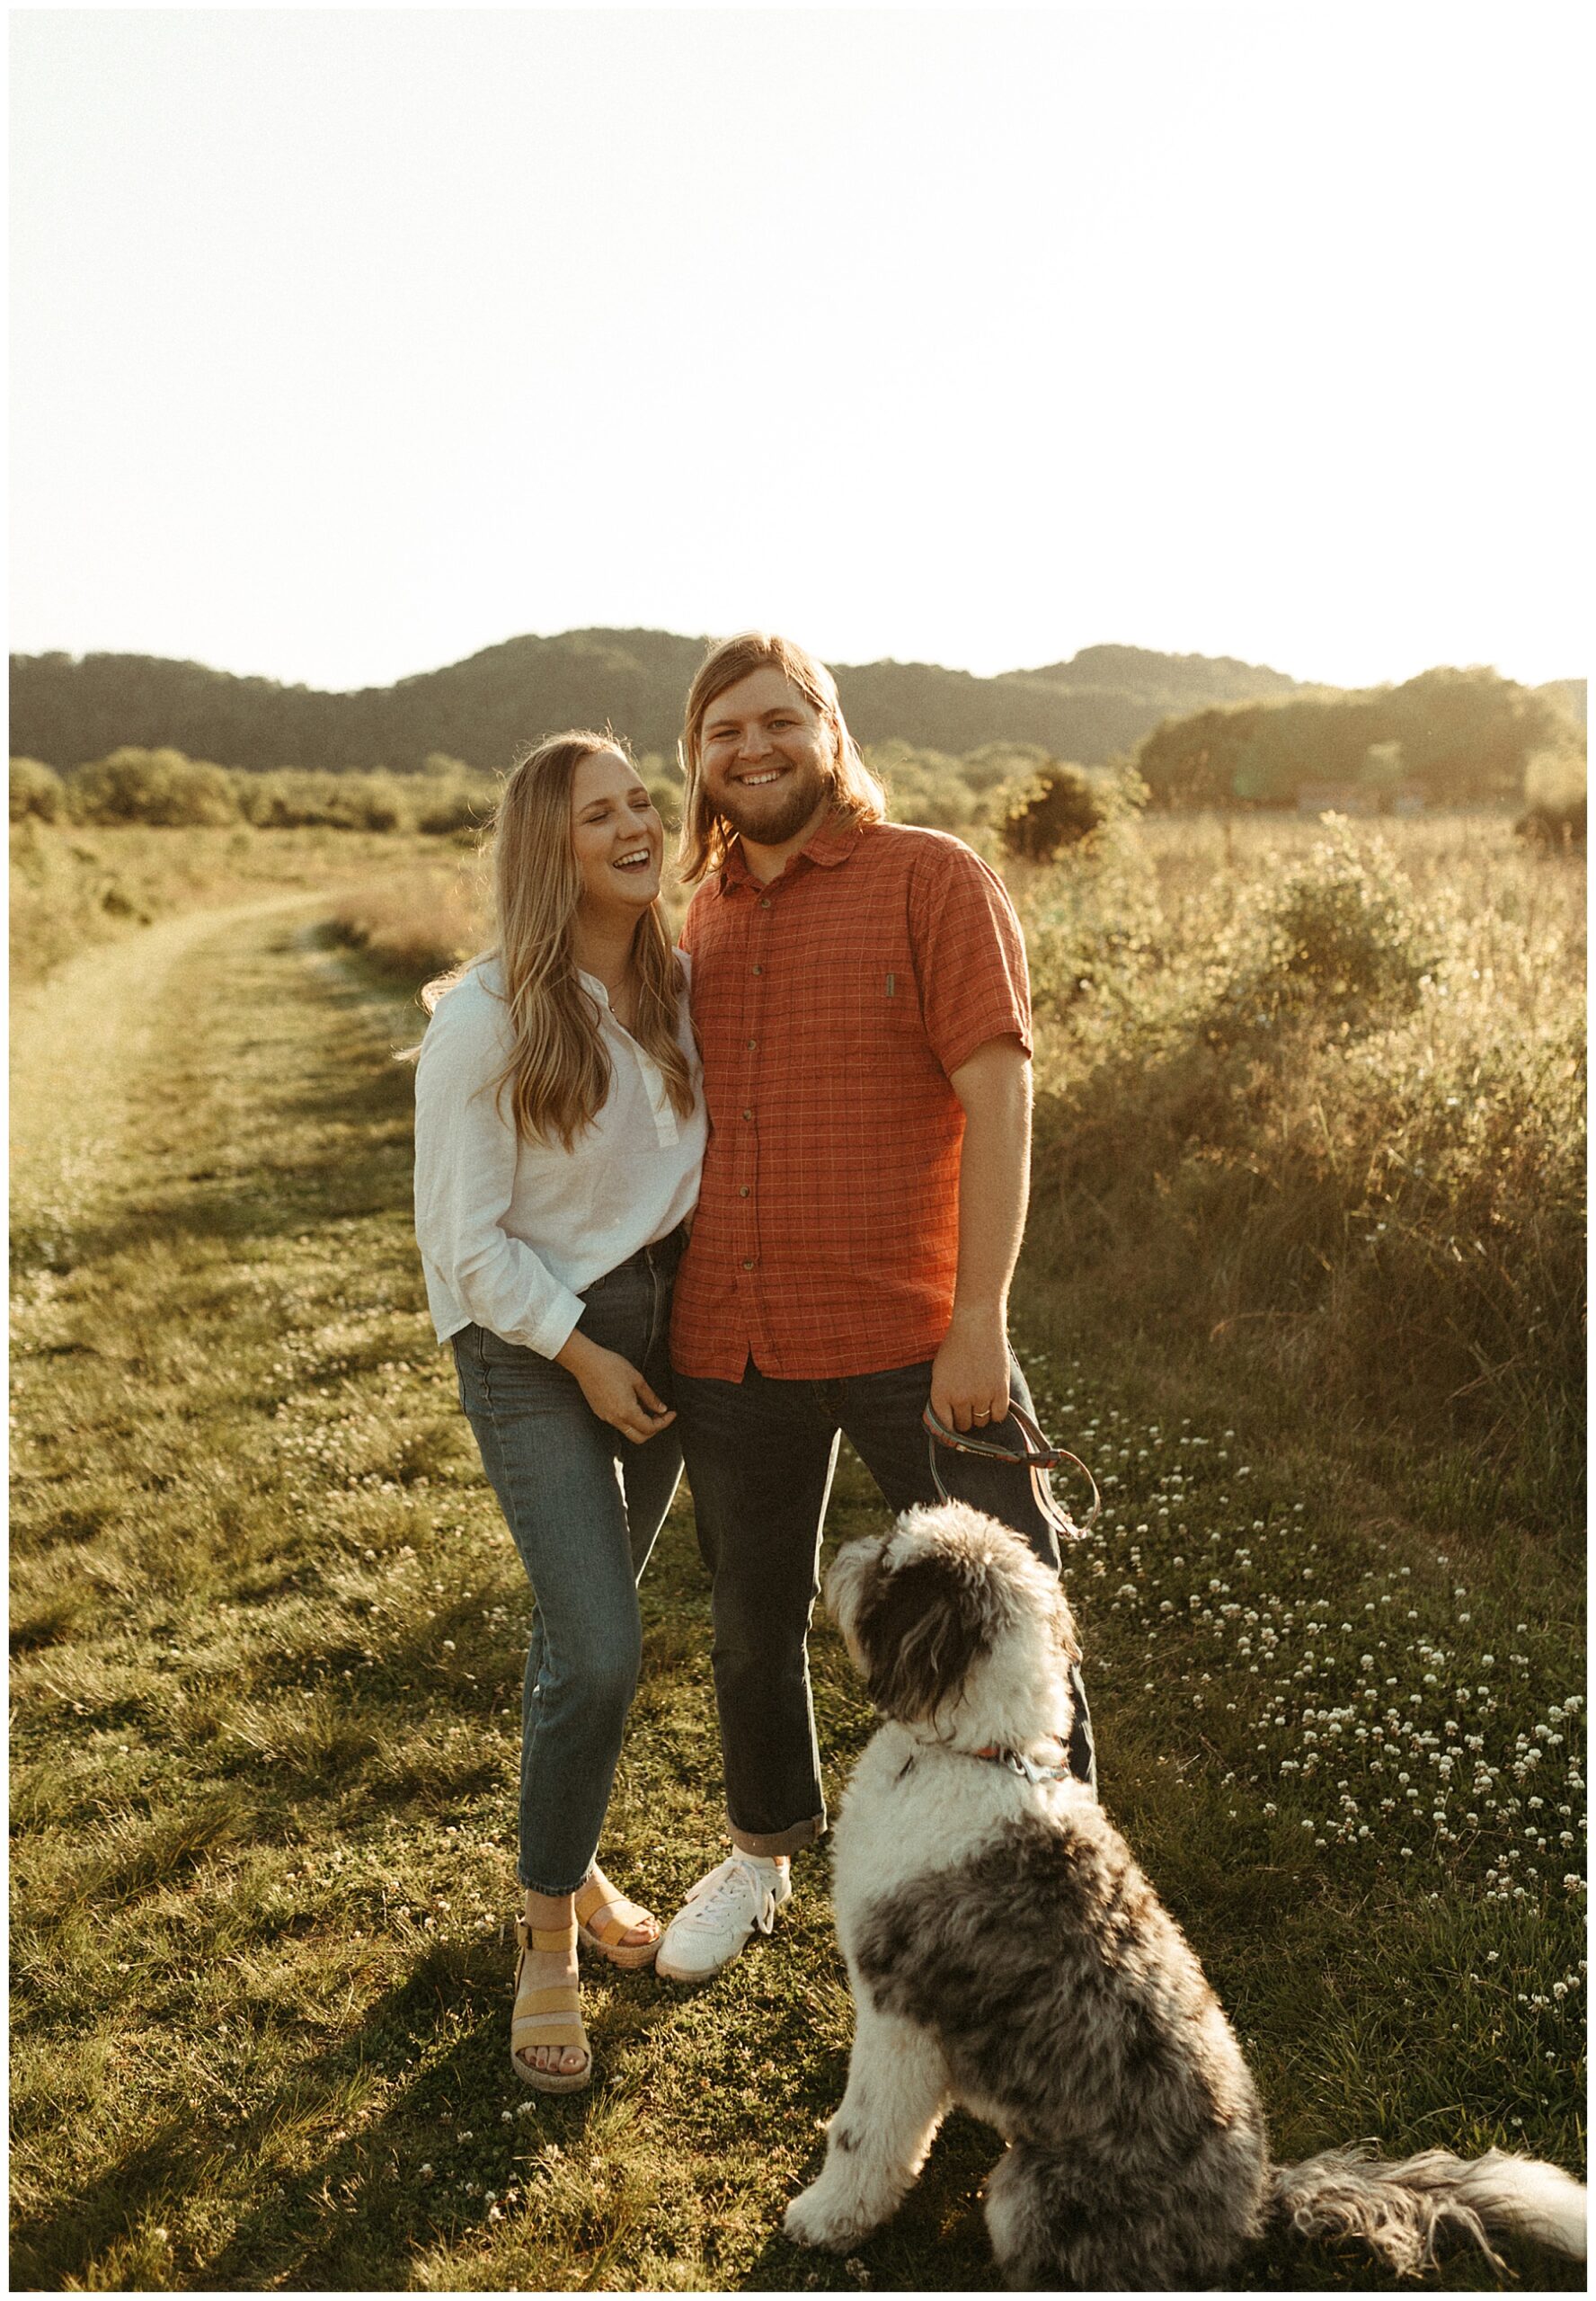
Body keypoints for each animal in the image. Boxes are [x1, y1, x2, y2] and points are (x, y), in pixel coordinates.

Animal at [786, 1509, 1591, 2282]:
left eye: (892, 1563)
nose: (842, 1552)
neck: (978, 1756)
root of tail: (1258, 2203)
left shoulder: (898, 2016)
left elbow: (864, 2134)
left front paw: (825, 2218)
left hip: (1032, 2192)